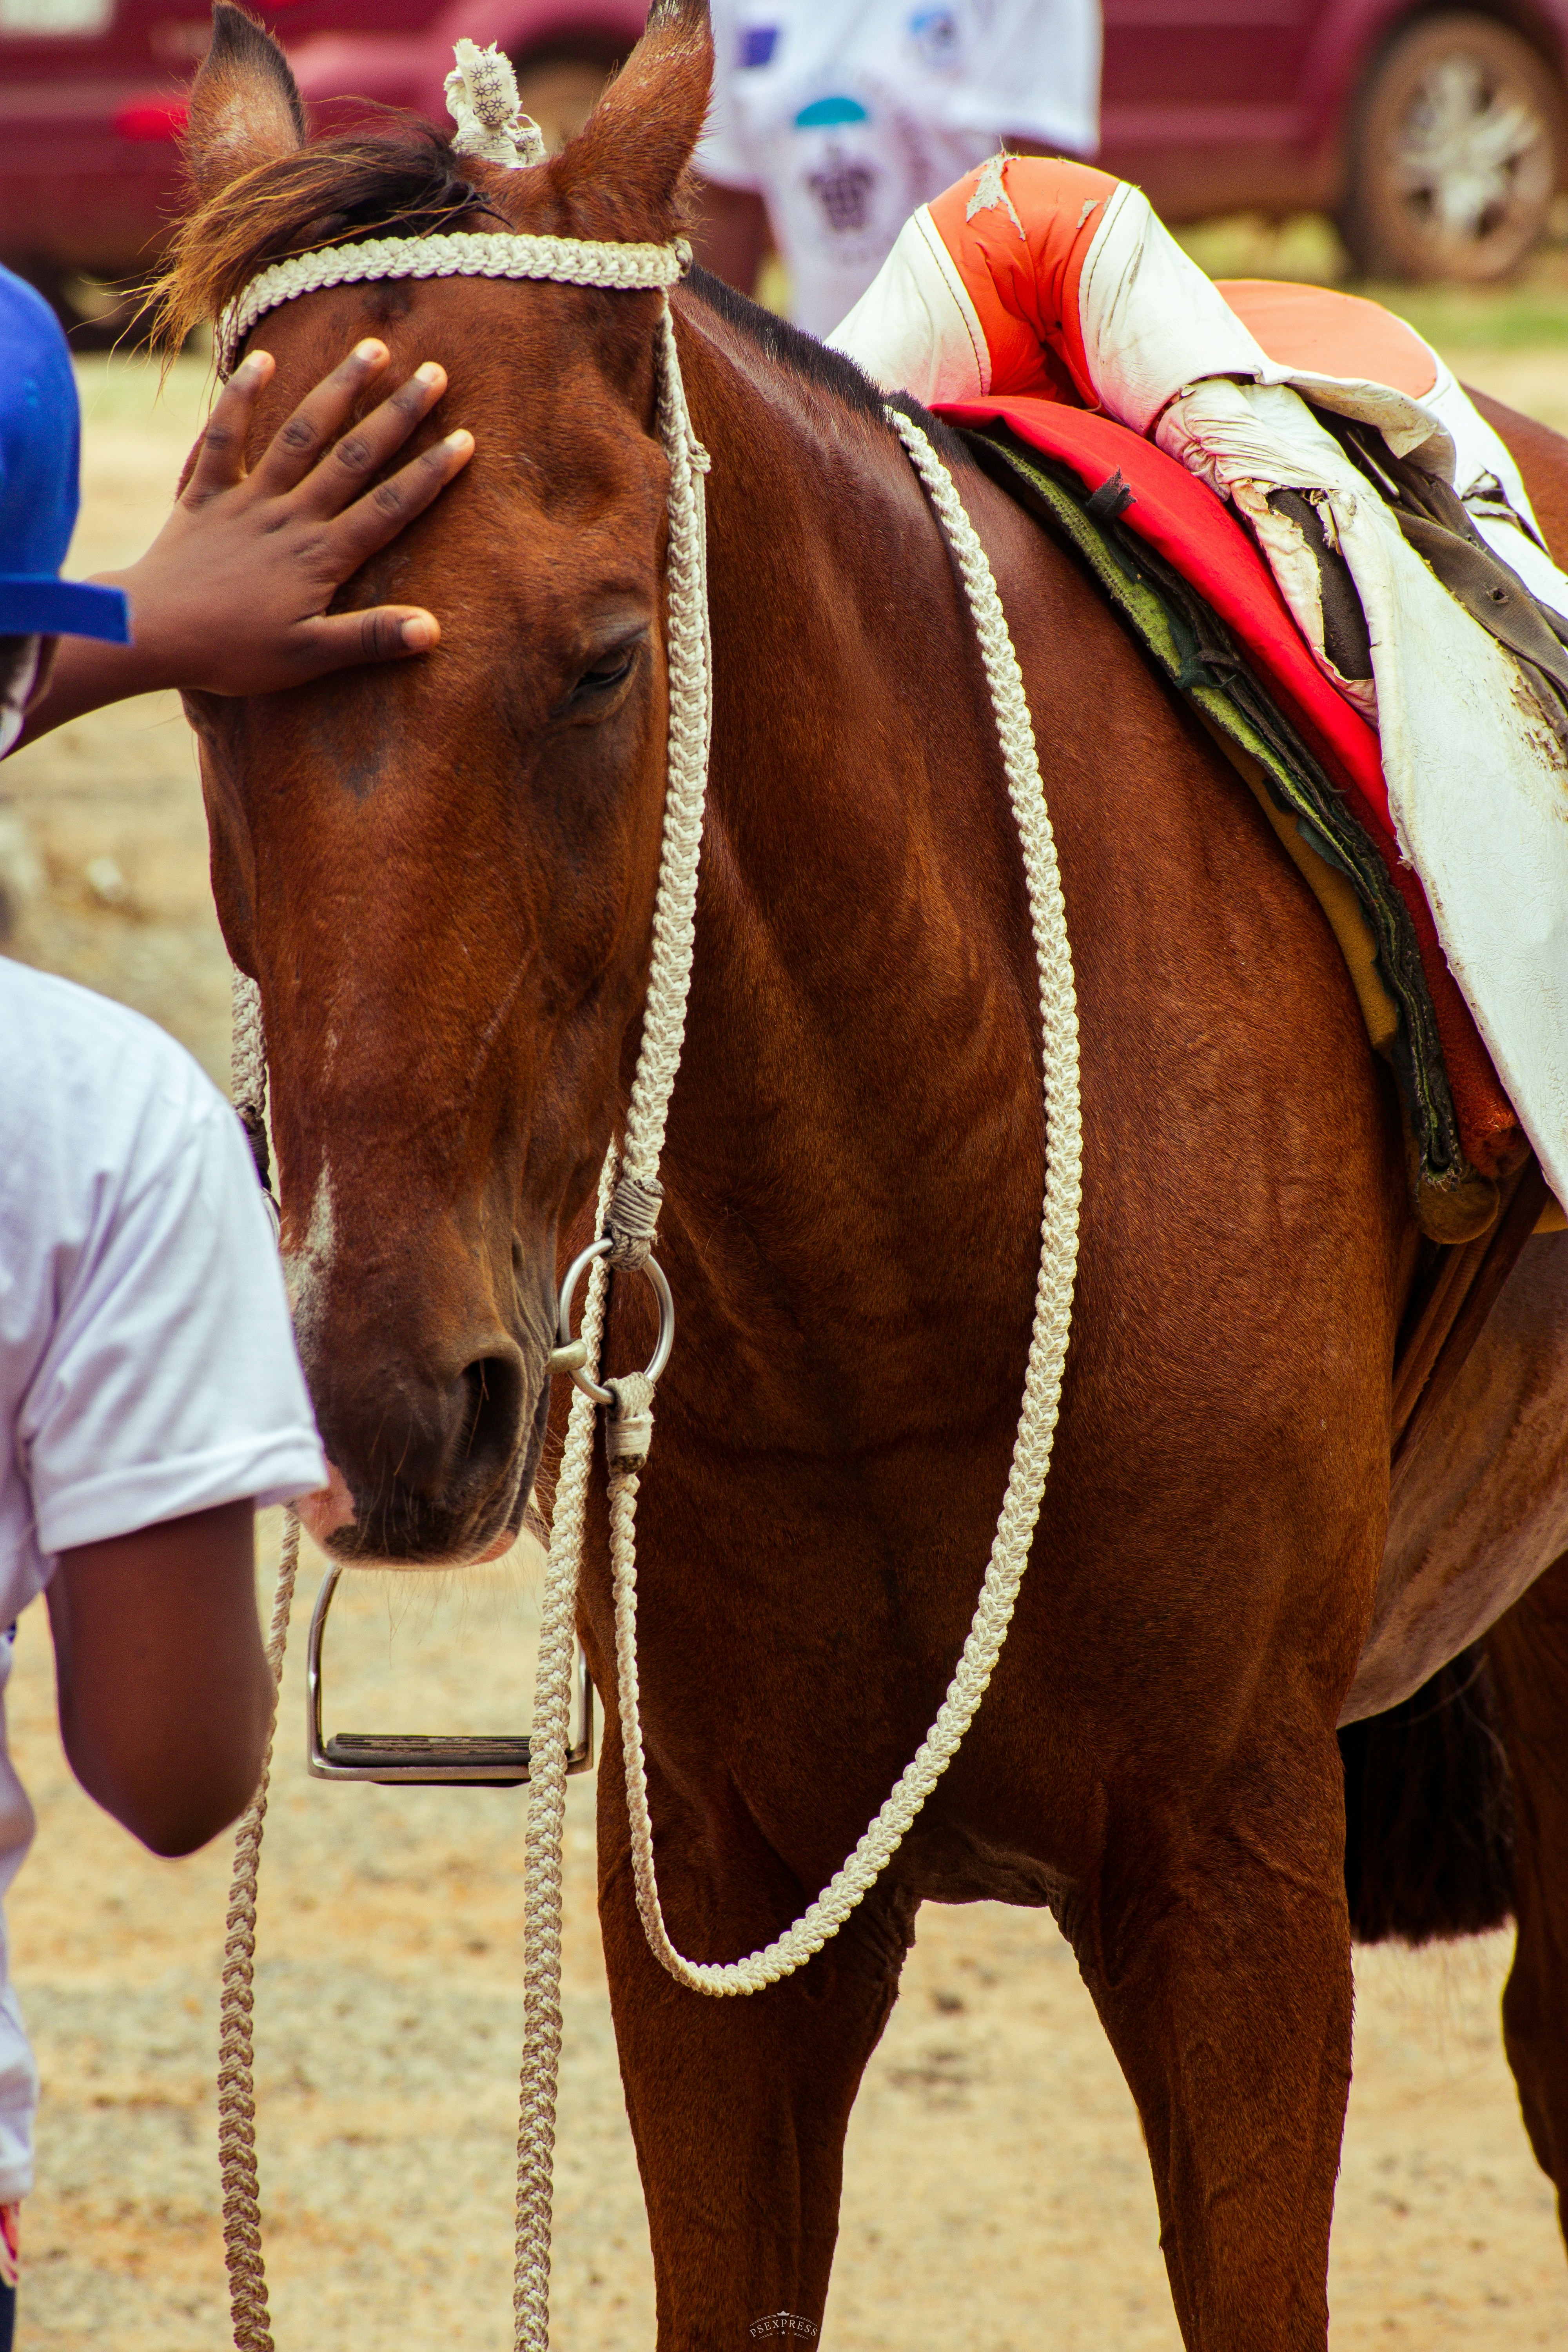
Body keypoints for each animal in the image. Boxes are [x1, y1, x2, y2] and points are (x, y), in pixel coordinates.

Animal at [167, 4, 1568, 2341]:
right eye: (200, 681)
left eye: (606, 660)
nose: (381, 1399)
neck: (918, 1214)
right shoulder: (717, 1909)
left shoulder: (1238, 1888)